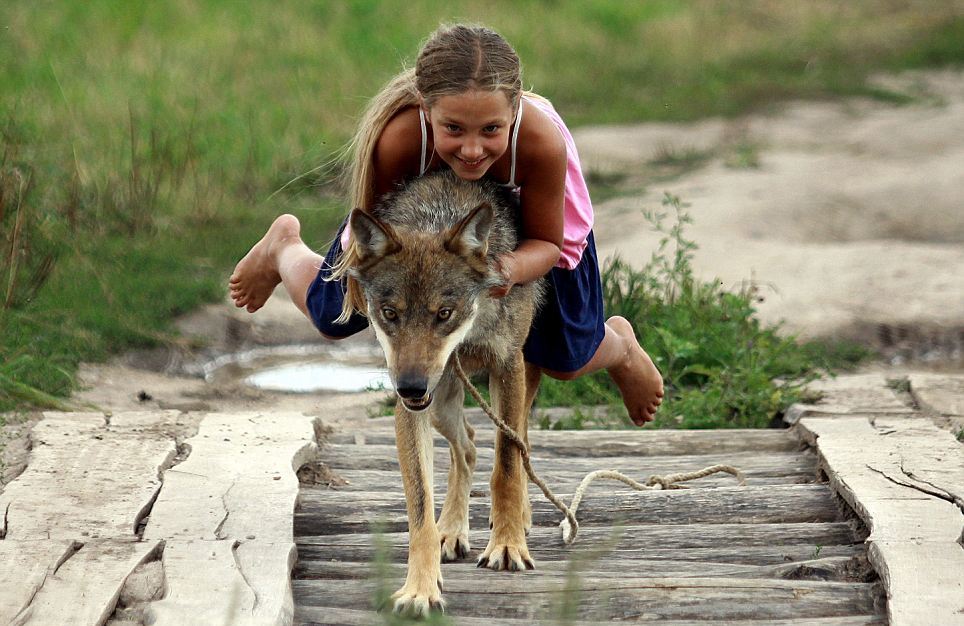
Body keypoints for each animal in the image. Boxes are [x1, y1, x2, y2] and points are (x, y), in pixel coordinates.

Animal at [346, 171, 544, 616]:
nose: (410, 386)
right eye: (390, 314)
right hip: (441, 402)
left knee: (518, 442)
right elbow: (420, 507)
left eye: (443, 313)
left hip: (515, 378)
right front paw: (420, 588)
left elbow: (507, 464)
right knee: (467, 446)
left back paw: (517, 519)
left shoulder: (508, 365)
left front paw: (507, 546)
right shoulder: (412, 407)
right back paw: (452, 531)